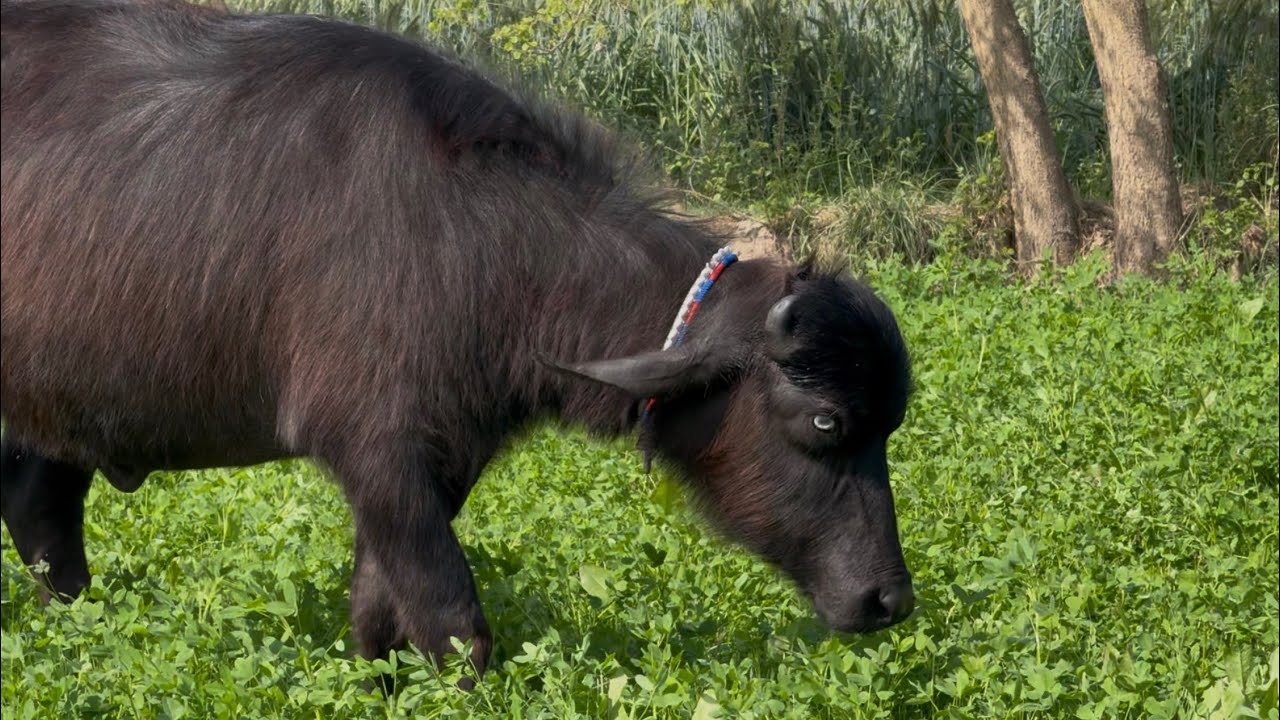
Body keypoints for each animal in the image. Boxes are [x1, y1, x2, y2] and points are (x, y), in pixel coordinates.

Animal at [0, 0, 915, 677]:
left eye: (889, 425)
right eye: (827, 422)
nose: (890, 601)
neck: (478, 241)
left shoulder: (440, 457)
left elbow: (381, 611)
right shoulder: (375, 448)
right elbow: (452, 620)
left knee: (42, 514)